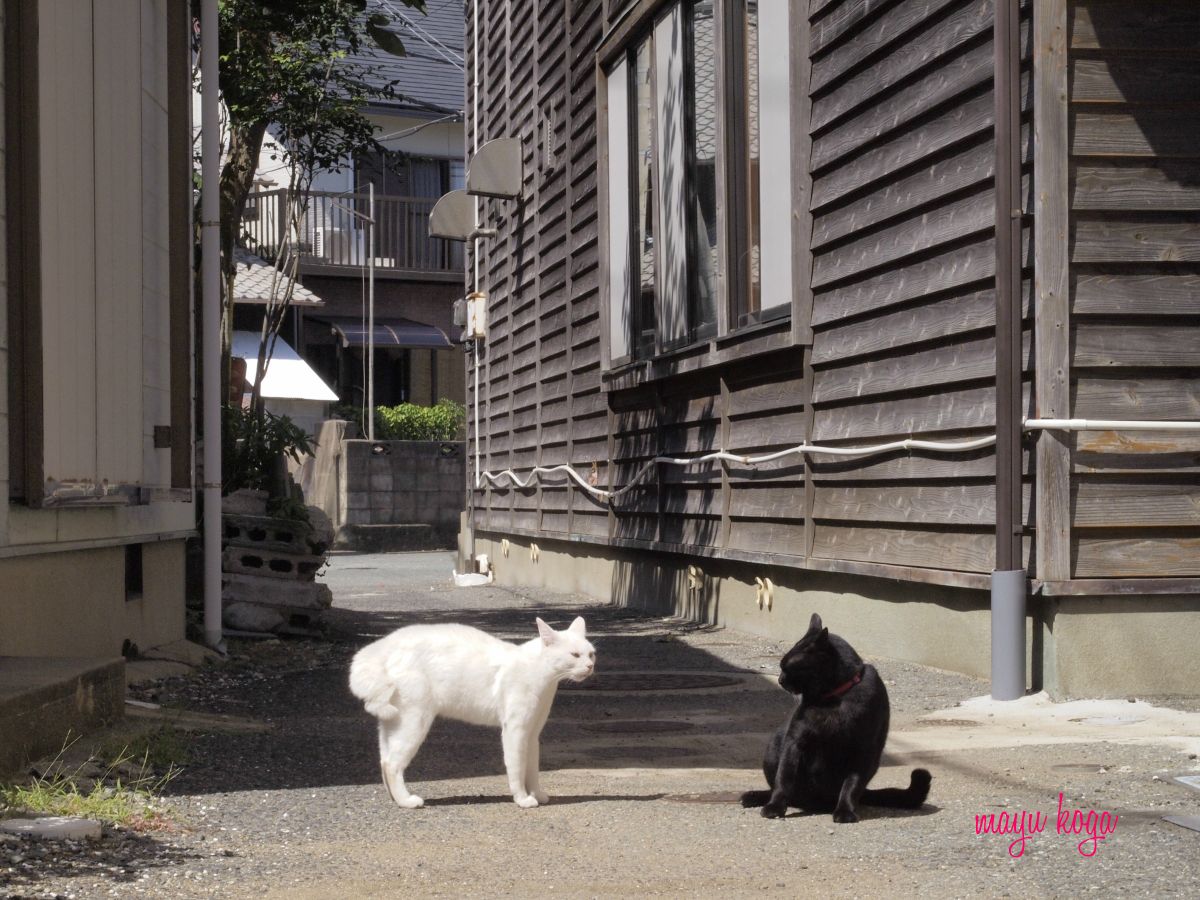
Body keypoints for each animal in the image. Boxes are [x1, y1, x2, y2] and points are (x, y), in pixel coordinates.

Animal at [348, 619, 595, 811]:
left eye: (591, 654)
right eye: (575, 655)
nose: (590, 666)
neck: (543, 675)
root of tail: (385, 645)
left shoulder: (533, 734)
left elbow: (532, 768)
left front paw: (538, 795)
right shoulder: (515, 730)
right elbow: (517, 767)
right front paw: (522, 799)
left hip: (394, 724)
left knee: (384, 759)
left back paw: (394, 798)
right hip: (414, 722)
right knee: (392, 764)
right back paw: (407, 801)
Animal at [739, 619, 926, 820]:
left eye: (786, 667)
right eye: (781, 667)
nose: (780, 679)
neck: (833, 699)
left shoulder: (864, 750)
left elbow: (852, 784)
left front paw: (845, 811)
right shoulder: (795, 740)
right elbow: (784, 778)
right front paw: (775, 806)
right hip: (773, 746)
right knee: (780, 787)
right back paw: (755, 796)